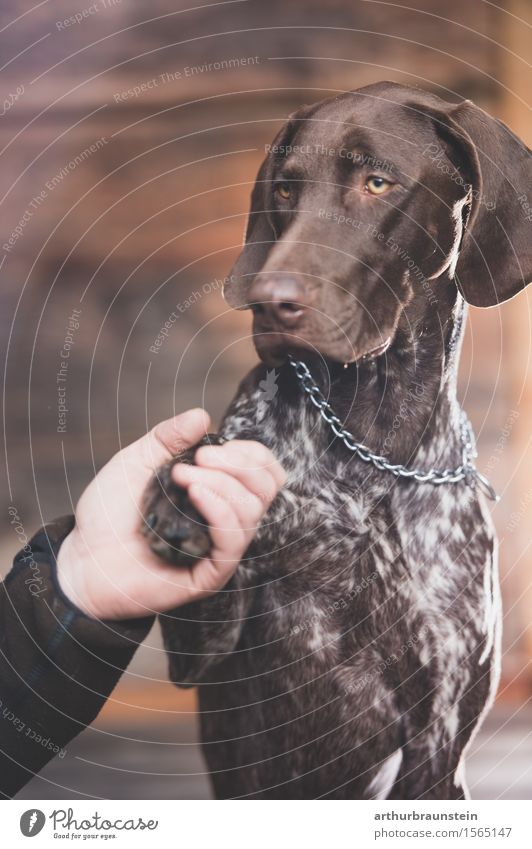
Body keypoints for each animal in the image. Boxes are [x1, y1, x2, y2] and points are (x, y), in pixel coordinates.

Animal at [141, 79, 532, 796]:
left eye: (378, 183)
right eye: (285, 190)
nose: (269, 301)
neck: (371, 450)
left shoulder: (438, 738)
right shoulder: (205, 655)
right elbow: (209, 450)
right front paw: (185, 495)